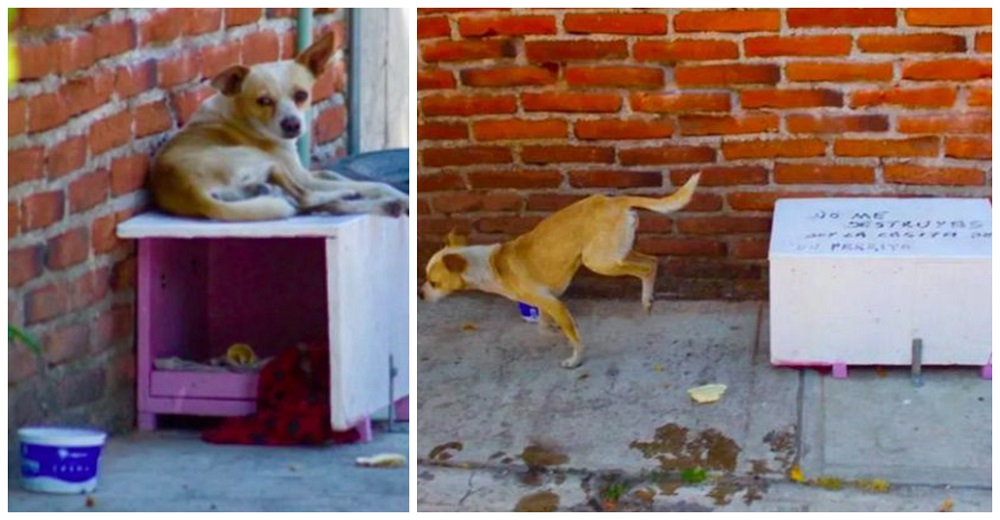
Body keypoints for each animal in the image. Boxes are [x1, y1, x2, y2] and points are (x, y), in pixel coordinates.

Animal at [148, 31, 406, 220]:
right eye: (263, 101)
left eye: (301, 95)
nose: (292, 125)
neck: (241, 115)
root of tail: (189, 190)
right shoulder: (302, 176)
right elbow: (371, 184)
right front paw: (394, 192)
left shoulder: (305, 172)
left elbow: (334, 173)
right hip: (266, 162)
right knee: (306, 198)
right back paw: (359, 196)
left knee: (307, 204)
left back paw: (385, 205)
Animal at [422, 175, 704, 370]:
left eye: (433, 282)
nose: (421, 296)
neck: (492, 264)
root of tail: (613, 200)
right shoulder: (546, 303)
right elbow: (544, 326)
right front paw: (554, 332)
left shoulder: (553, 303)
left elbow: (572, 336)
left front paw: (575, 359)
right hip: (616, 254)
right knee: (653, 261)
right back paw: (648, 299)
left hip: (598, 261)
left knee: (645, 268)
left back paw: (646, 301)